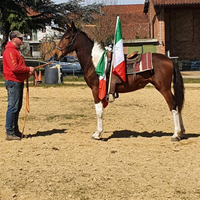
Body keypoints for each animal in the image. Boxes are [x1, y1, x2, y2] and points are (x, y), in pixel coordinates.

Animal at [53, 21, 184, 141]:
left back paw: (176, 134)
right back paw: (181, 132)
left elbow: (98, 111)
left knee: (173, 105)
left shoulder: (96, 90)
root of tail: (169, 60)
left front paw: (97, 134)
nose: (55, 54)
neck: (95, 62)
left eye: (67, 37)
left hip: (164, 88)